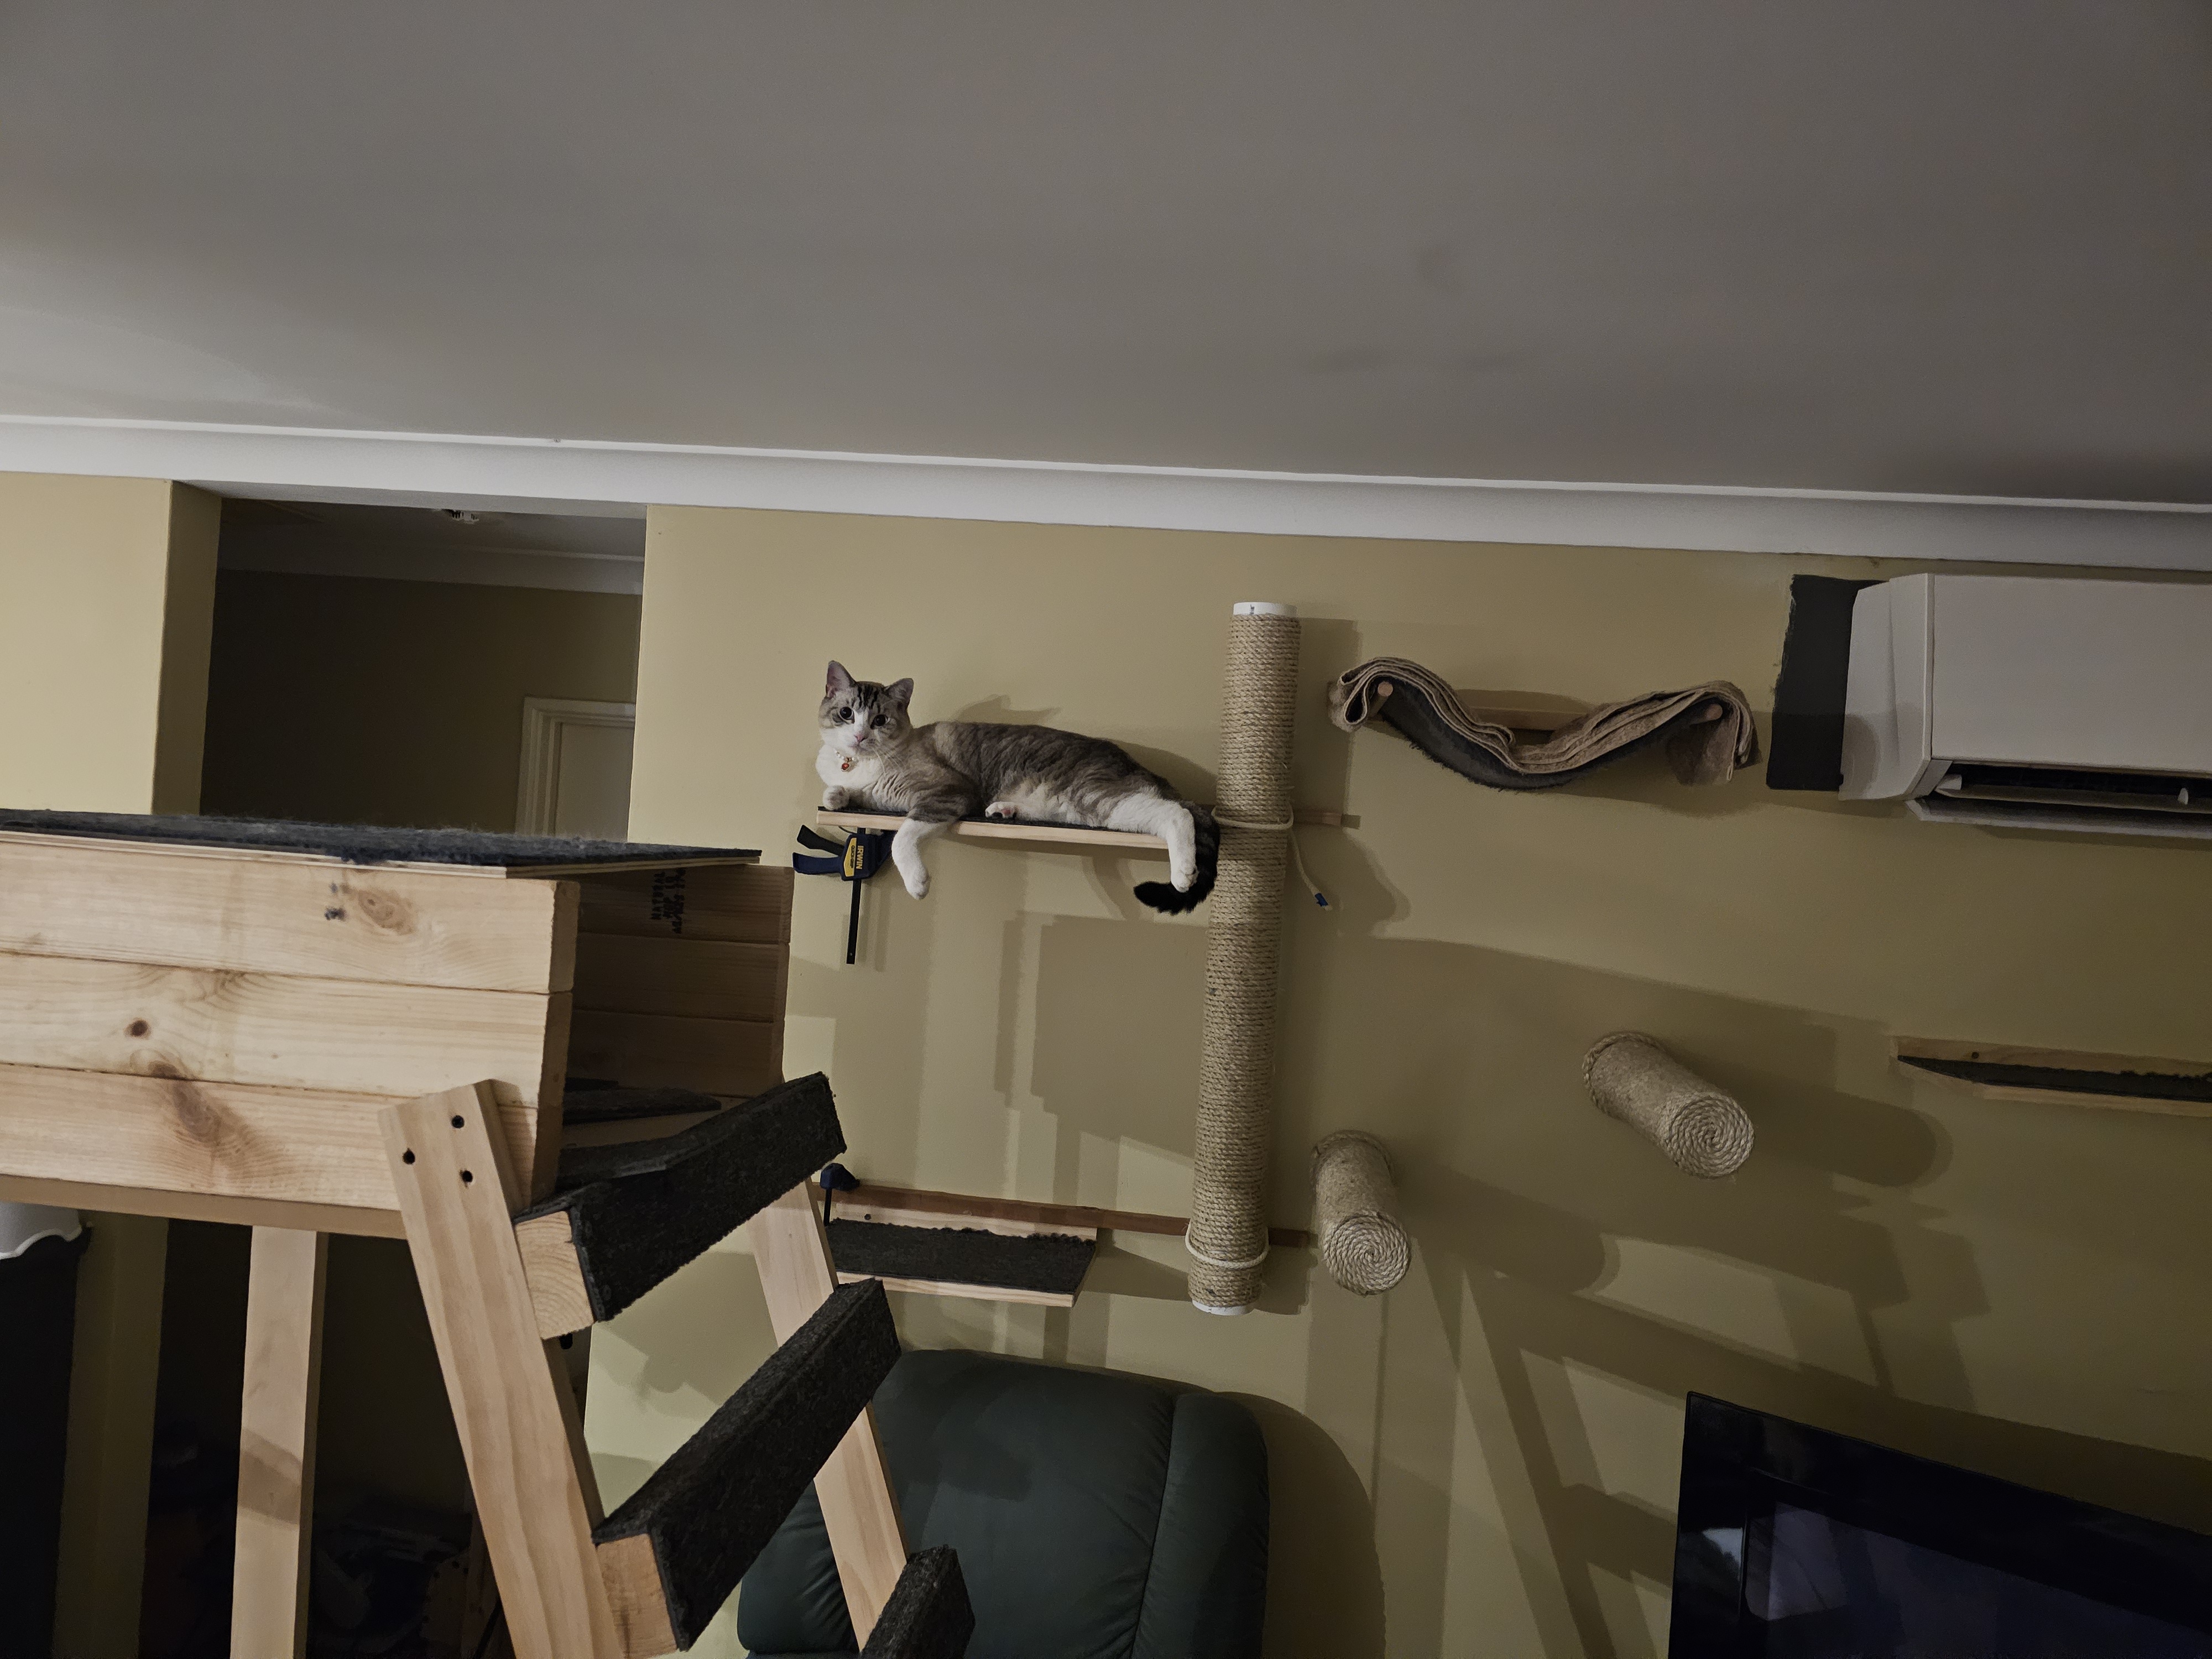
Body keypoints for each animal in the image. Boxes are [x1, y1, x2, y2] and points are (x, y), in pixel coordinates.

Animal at [816, 661, 1219, 912]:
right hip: (1078, 811)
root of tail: (1138, 765)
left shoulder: (946, 794)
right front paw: (836, 795)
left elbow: (902, 837)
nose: (860, 736)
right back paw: (1003, 809)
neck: (862, 765)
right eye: (847, 714)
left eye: (880, 720)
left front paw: (918, 884)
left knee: (1176, 812)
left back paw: (1184, 874)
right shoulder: (871, 795)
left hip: (1100, 803)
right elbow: (840, 795)